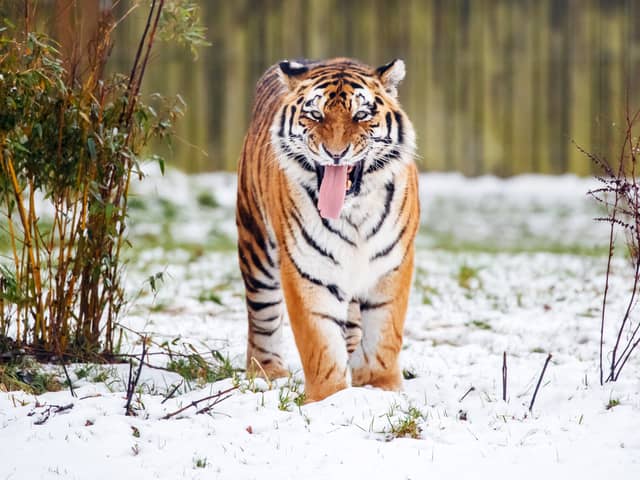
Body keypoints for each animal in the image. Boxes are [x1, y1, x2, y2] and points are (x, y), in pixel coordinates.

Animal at [236, 57, 419, 403]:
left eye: (361, 115)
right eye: (315, 115)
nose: (336, 153)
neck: (354, 212)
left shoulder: (391, 265)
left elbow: (384, 334)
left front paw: (381, 388)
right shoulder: (308, 269)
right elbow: (320, 343)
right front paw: (329, 399)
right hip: (256, 245)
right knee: (262, 314)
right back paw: (268, 372)